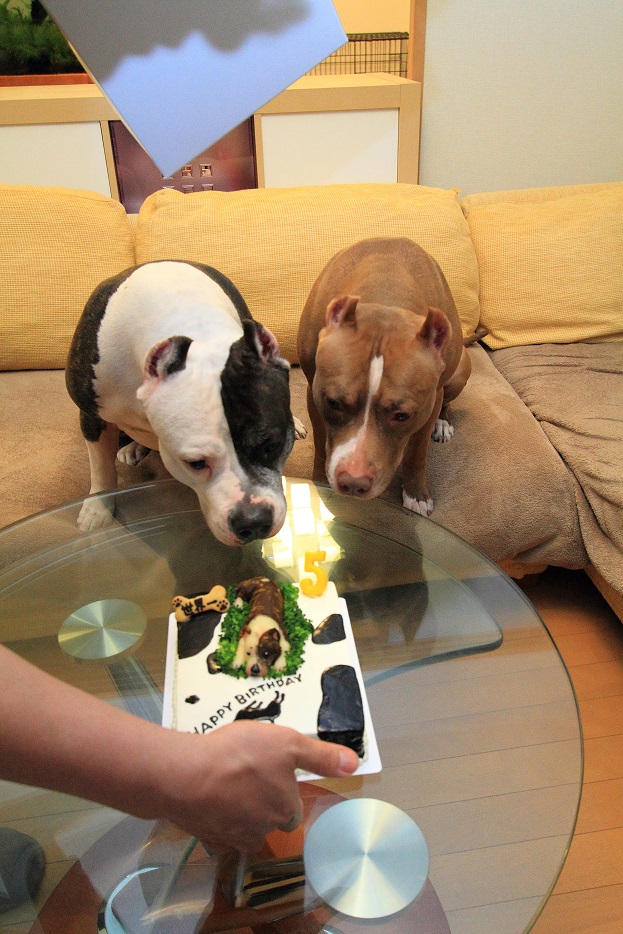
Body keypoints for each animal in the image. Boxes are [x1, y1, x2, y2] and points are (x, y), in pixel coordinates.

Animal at [66, 260, 295, 545]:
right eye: (195, 463)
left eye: (272, 446)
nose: (253, 522)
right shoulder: (91, 415)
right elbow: (101, 468)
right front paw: (98, 509)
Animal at [296, 237, 471, 516]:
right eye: (333, 403)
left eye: (402, 416)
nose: (353, 482)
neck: (386, 297)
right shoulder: (314, 393)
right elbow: (321, 439)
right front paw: (320, 482)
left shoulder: (429, 402)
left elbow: (417, 453)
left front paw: (416, 494)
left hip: (459, 372)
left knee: (446, 403)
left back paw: (443, 424)